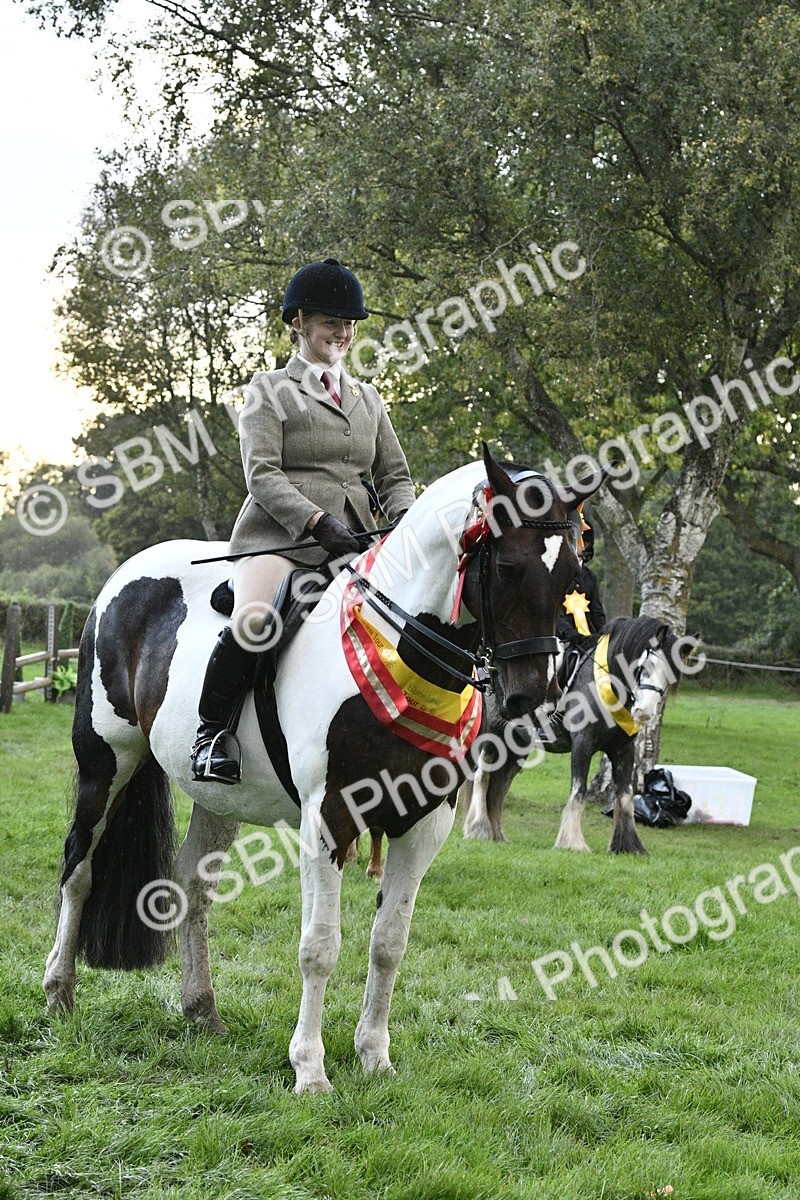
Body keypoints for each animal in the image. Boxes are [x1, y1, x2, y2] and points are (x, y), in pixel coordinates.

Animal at [43, 445, 602, 1093]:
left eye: (570, 578)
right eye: (507, 567)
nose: (531, 698)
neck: (400, 646)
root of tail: (125, 575)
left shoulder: (425, 822)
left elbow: (389, 943)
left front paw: (374, 1056)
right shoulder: (330, 816)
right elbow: (320, 945)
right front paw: (310, 1070)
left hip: (219, 796)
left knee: (193, 886)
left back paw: (201, 1009)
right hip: (106, 760)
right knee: (79, 866)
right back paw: (59, 992)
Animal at [462, 616, 681, 856]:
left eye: (669, 674)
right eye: (642, 667)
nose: (645, 712)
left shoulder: (623, 749)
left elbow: (624, 795)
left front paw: (629, 846)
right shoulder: (583, 744)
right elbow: (579, 790)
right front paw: (572, 842)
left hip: (516, 746)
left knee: (500, 784)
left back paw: (497, 836)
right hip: (493, 735)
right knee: (482, 777)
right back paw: (479, 829)